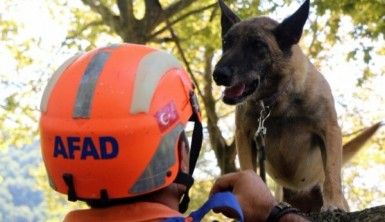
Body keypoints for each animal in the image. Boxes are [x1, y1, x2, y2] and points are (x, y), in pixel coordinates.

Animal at [213, 0, 380, 212]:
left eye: (258, 45)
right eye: (226, 43)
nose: (218, 74)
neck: (276, 104)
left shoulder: (330, 130)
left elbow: (332, 173)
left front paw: (333, 204)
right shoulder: (245, 135)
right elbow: (249, 170)